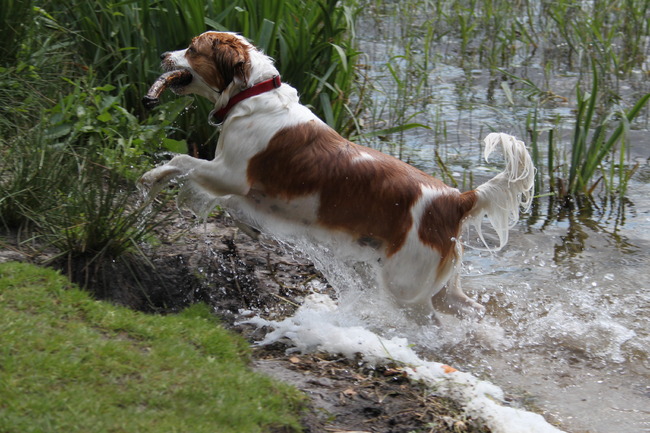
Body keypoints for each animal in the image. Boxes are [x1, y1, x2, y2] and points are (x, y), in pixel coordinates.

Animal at [140, 31, 535, 322]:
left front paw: (151, 177)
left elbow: (182, 159)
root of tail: (456, 198)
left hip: (406, 287)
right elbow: (222, 196)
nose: (162, 54)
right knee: (470, 309)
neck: (252, 96)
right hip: (438, 286)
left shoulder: (230, 173)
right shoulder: (237, 185)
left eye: (192, 49)